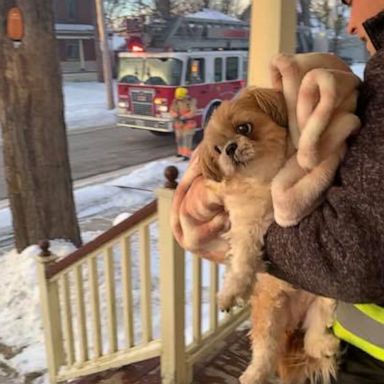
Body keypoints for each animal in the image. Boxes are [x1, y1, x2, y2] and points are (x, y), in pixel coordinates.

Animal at [200, 88, 340, 384]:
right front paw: (232, 290)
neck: (266, 182)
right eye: (216, 150)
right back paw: (252, 376)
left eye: (244, 128)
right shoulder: (245, 225)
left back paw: (324, 345)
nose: (229, 148)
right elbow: (242, 257)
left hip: (325, 297)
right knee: (266, 353)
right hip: (268, 316)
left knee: (316, 330)